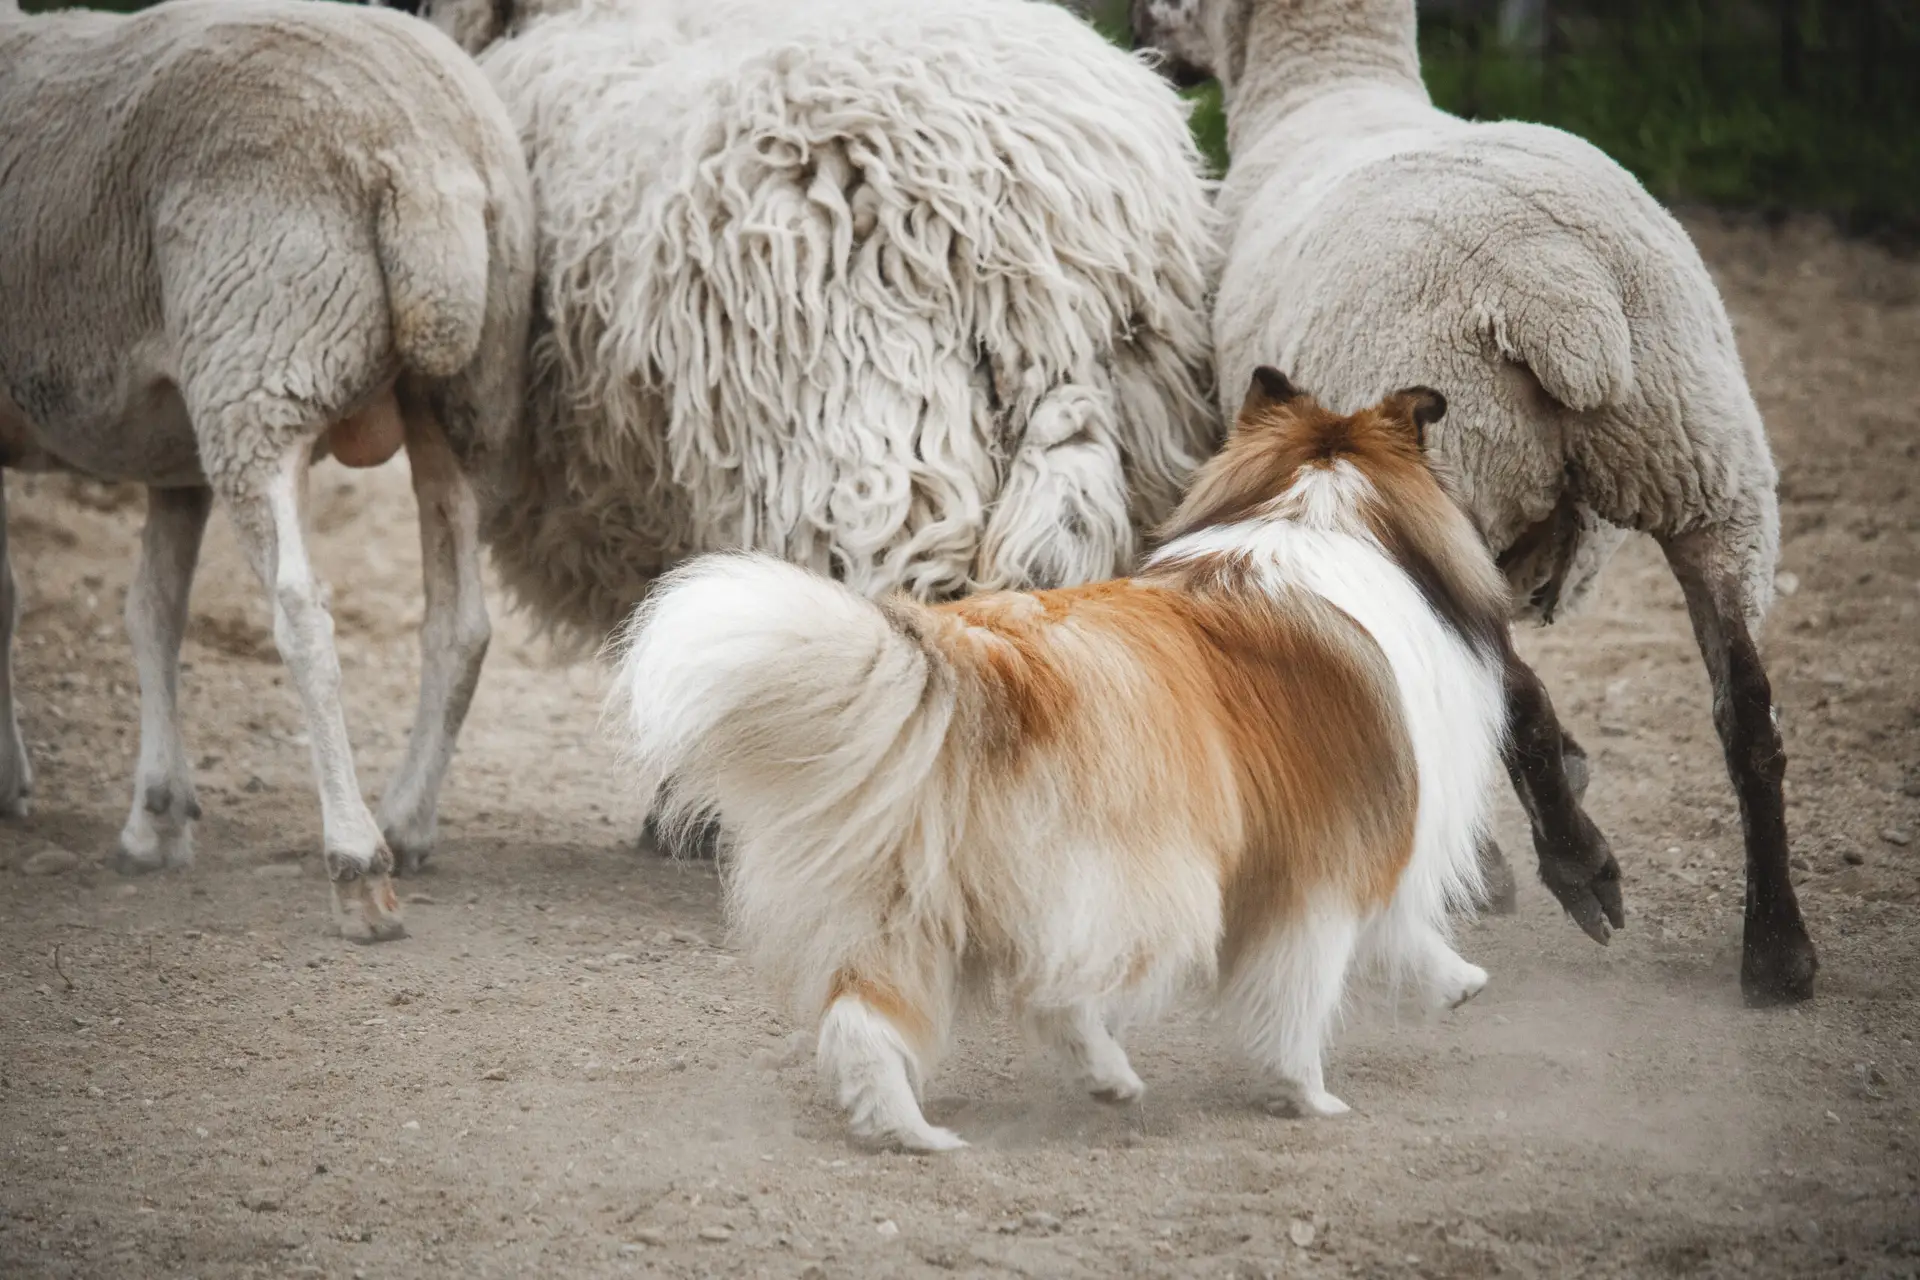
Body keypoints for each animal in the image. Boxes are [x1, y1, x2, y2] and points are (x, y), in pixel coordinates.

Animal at [0, 0, 537, 940]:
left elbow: (9, 597)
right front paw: (156, 817)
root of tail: (423, 156)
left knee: (302, 614)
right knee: (461, 624)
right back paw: (407, 823)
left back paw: (358, 864)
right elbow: (153, 612)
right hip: (466, 397)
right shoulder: (174, 462)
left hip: (258, 368)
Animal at [614, 372, 1512, 1151]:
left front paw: (1458, 981)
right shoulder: (1334, 859)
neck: (1313, 510)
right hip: (1146, 884)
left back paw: (913, 1134)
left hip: (896, 904)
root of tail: (980, 664)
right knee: (1058, 997)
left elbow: (1399, 932)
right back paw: (1107, 1078)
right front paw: (1310, 1095)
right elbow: (1313, 987)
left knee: (863, 1020)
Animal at [1136, 0, 1812, 1005]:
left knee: (1510, 691)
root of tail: (1561, 294)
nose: (1144, 41)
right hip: (1709, 468)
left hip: (1462, 470)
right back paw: (1777, 951)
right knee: (1750, 713)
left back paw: (1578, 868)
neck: (1326, 86)